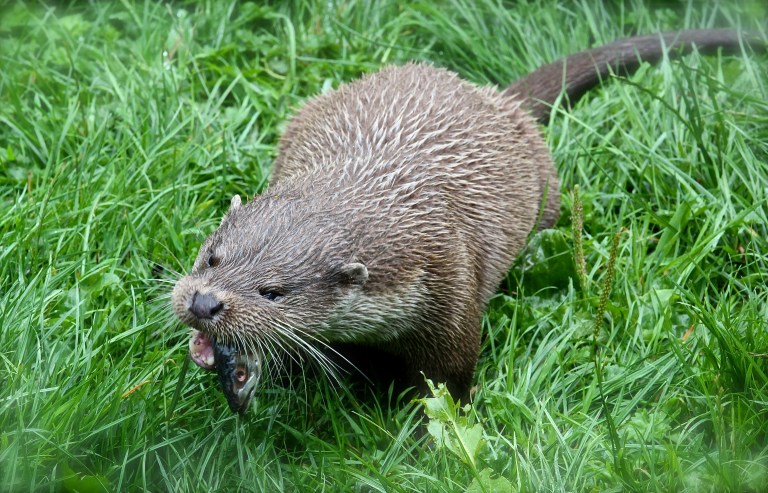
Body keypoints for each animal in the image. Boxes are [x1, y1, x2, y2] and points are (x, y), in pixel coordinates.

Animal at [172, 29, 763, 414]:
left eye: (274, 293)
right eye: (212, 257)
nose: (205, 302)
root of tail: (499, 100)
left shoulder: (450, 292)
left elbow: (448, 386)